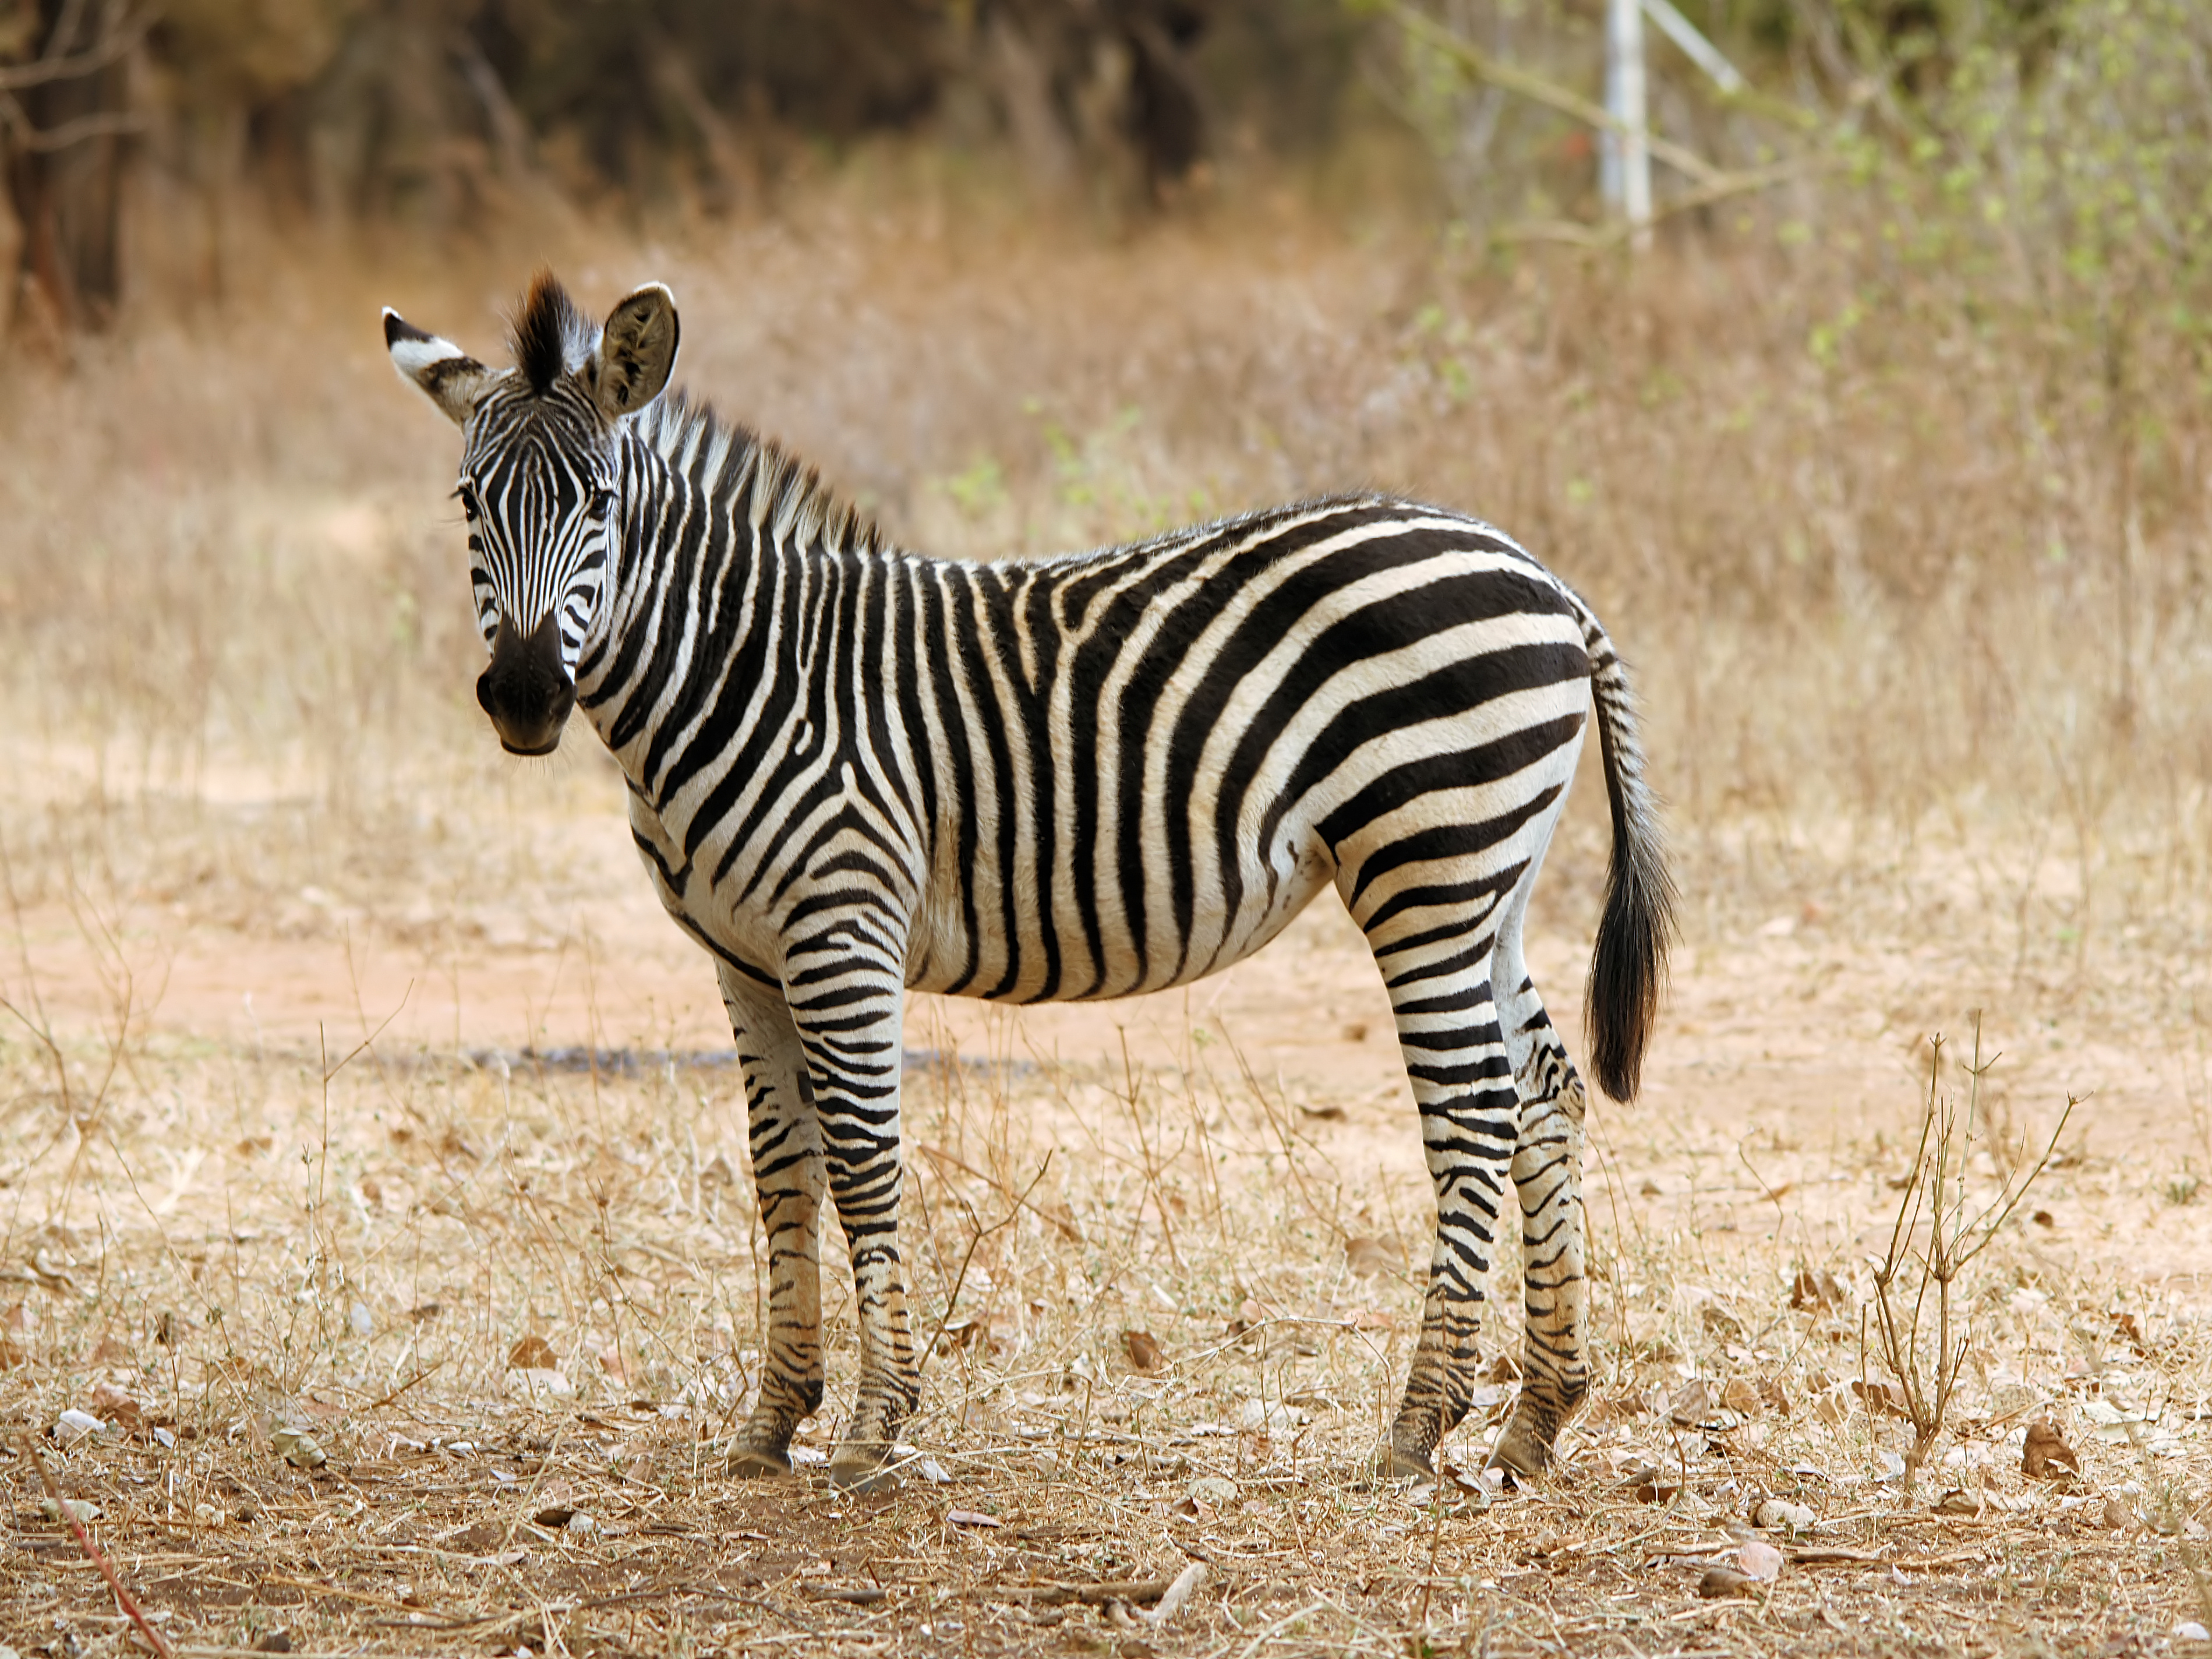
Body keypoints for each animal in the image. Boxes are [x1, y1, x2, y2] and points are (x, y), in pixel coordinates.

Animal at [384, 273, 1663, 1495]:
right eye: (468, 504)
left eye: (600, 505)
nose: (525, 698)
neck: (743, 672)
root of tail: (1544, 578)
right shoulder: (744, 959)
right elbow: (782, 1174)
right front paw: (770, 1422)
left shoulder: (841, 928)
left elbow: (863, 1159)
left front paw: (874, 1429)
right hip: (1486, 886)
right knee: (1545, 1092)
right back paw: (1535, 1421)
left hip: (1426, 867)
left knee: (1475, 1113)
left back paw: (1415, 1429)